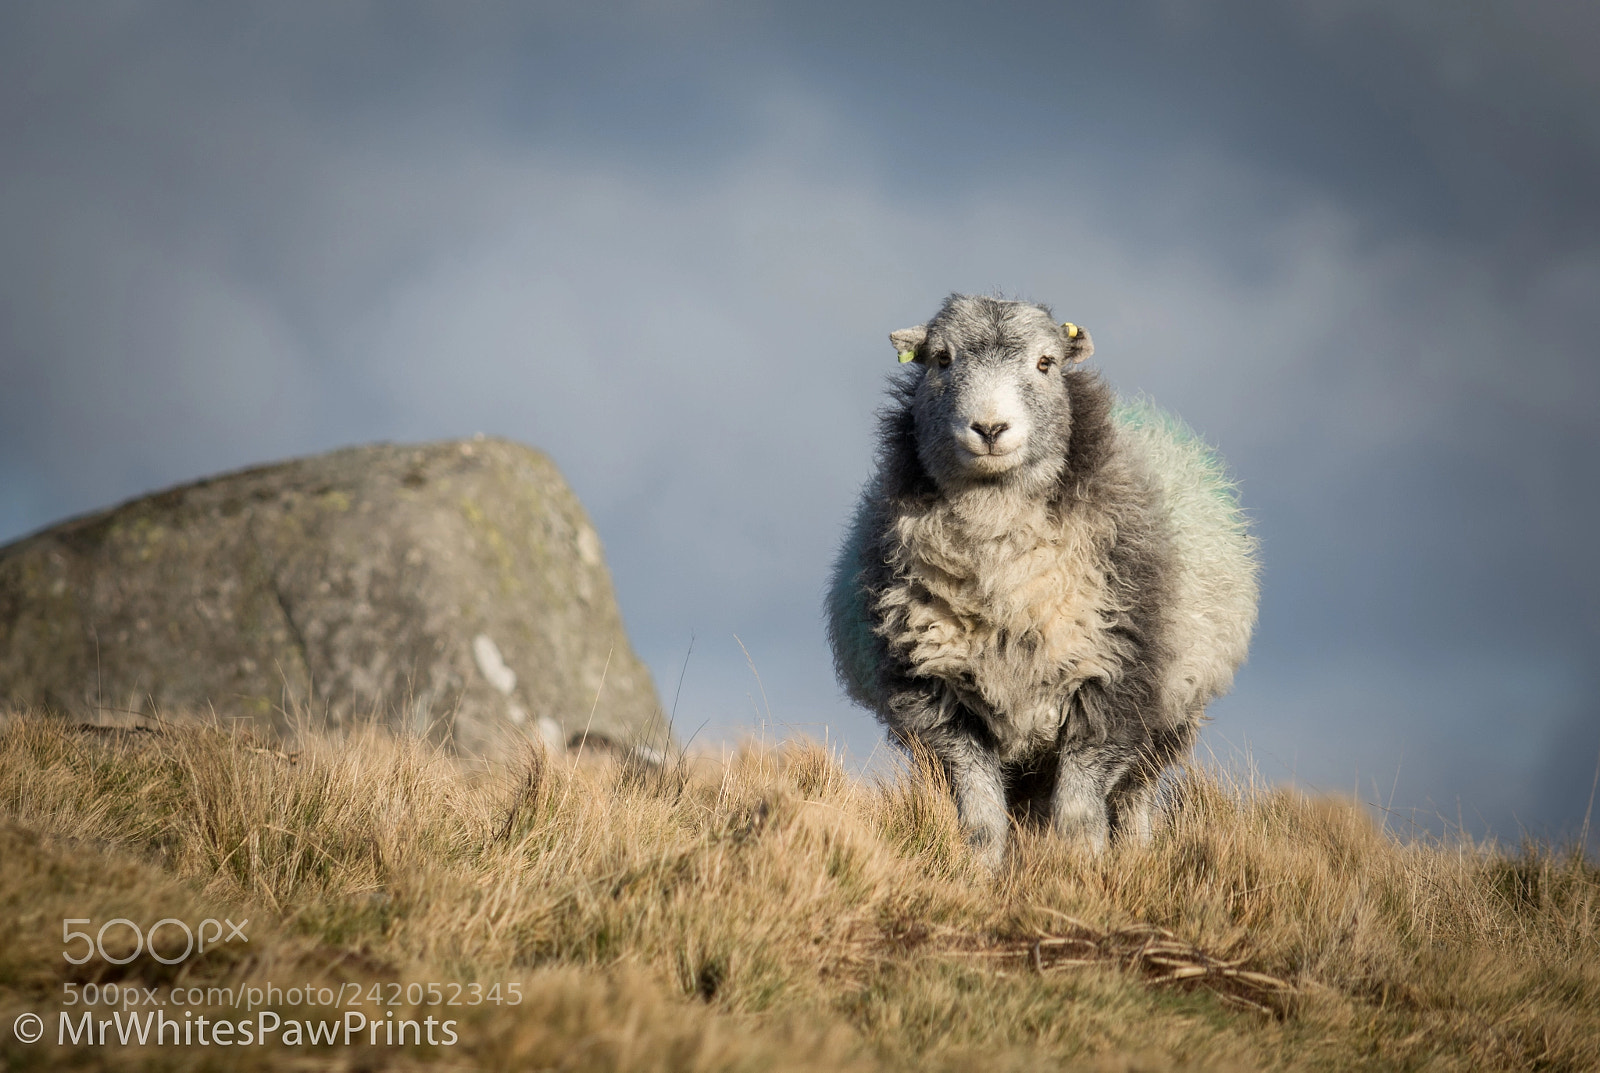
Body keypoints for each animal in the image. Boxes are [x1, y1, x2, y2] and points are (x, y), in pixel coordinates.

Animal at [827, 294, 1258, 868]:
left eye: (1046, 362)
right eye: (941, 359)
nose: (990, 429)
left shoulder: (1110, 689)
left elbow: (1077, 816)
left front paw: (1082, 872)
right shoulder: (938, 701)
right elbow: (981, 819)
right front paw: (982, 875)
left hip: (1170, 720)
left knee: (1134, 797)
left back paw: (1135, 854)